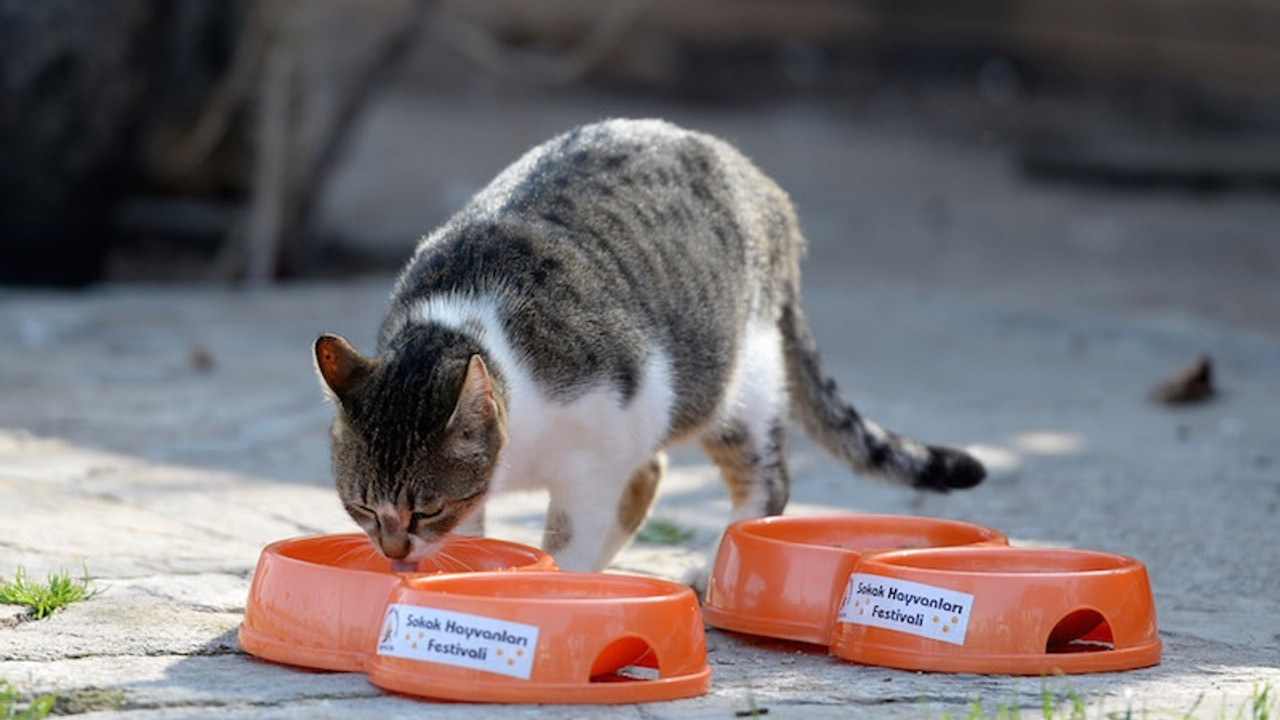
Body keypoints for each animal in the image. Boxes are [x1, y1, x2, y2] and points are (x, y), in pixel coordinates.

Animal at [312, 120, 988, 573]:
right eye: (360, 507)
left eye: (424, 510)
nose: (393, 550)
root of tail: (765, 189)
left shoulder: (599, 446)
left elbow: (569, 537)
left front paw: (561, 586)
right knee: (655, 470)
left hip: (735, 383)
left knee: (763, 482)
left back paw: (714, 571)